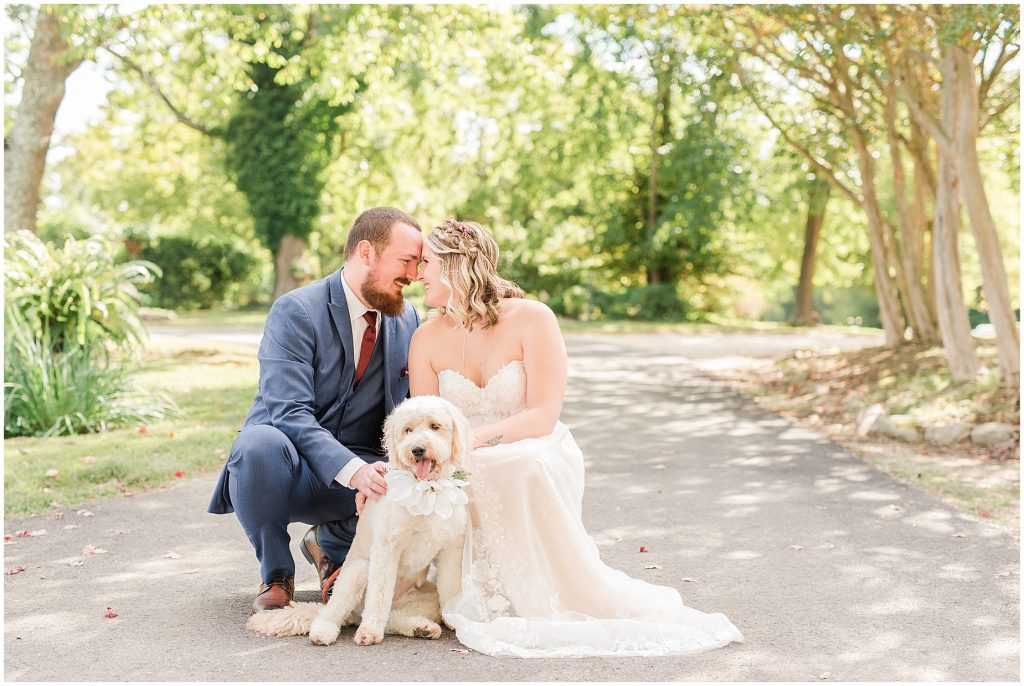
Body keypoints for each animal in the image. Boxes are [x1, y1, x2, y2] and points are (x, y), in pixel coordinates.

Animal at [243, 395, 471, 647]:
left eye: (434, 426)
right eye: (408, 430)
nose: (417, 449)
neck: (426, 490)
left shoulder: (451, 550)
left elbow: (450, 587)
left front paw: (454, 617)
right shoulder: (386, 550)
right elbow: (379, 596)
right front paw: (370, 630)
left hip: (425, 597)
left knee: (392, 616)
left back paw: (422, 627)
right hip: (356, 572)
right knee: (337, 611)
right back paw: (327, 630)